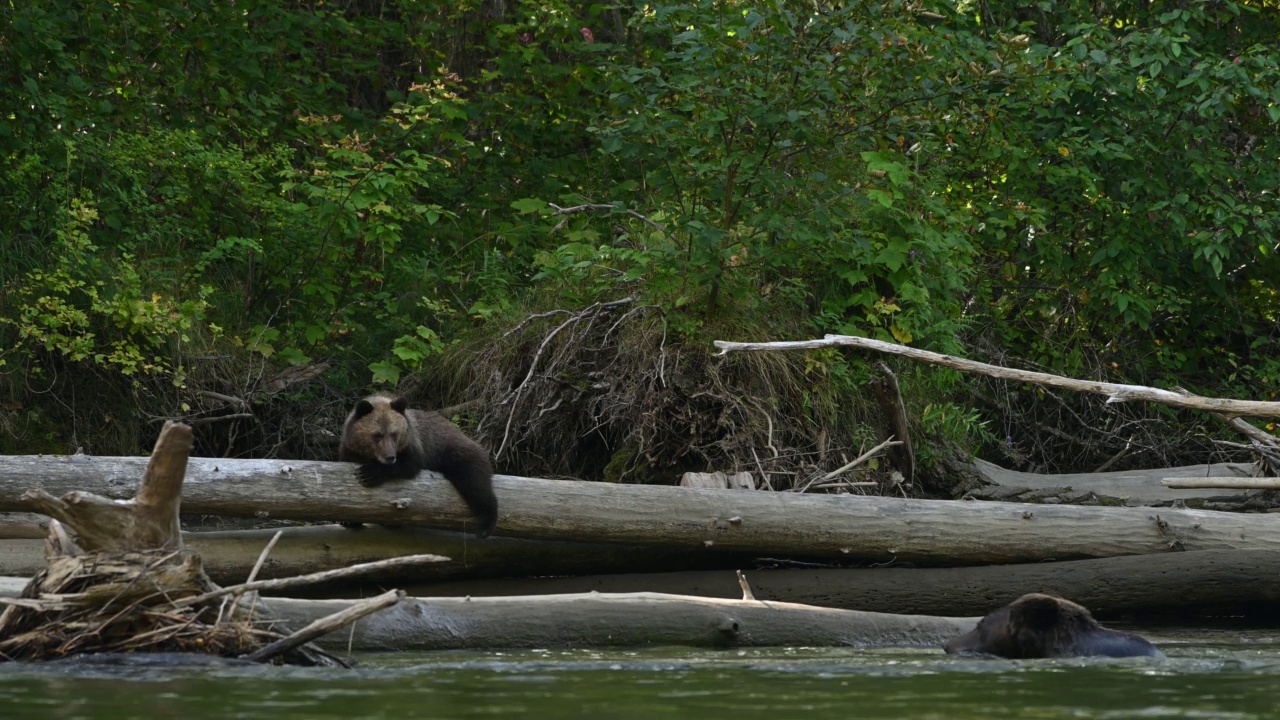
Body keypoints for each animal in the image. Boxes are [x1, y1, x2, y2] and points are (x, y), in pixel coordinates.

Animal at [340, 392, 499, 538]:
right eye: (377, 435)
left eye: (394, 434)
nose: (390, 457)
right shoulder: (350, 452)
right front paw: (349, 521)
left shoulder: (415, 445)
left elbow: (409, 464)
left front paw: (368, 474)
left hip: (455, 452)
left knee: (475, 482)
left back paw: (486, 524)